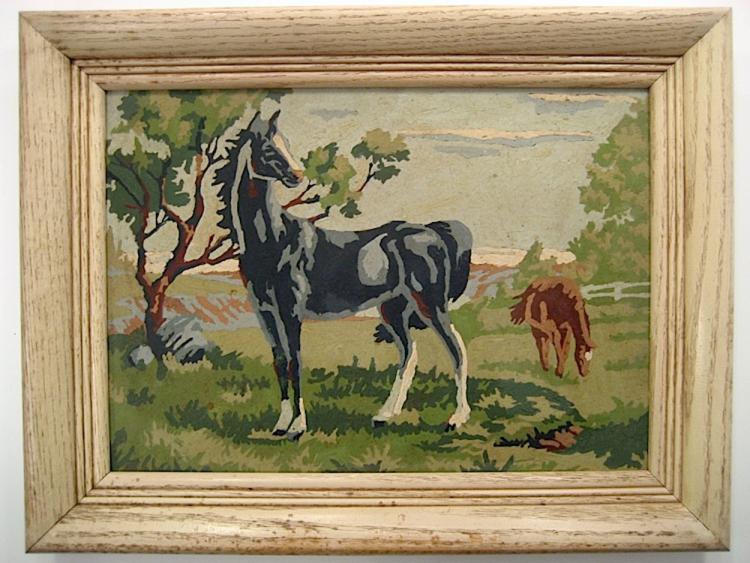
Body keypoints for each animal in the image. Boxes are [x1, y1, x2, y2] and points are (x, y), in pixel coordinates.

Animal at [214, 110, 473, 440]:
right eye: (269, 148)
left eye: (286, 143)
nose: (297, 175)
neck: (274, 240)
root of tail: (433, 230)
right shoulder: (265, 312)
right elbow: (280, 361)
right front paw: (281, 424)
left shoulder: (290, 311)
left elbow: (295, 362)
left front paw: (298, 427)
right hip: (393, 308)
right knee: (409, 353)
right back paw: (384, 415)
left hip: (431, 303)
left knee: (456, 350)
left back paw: (456, 419)